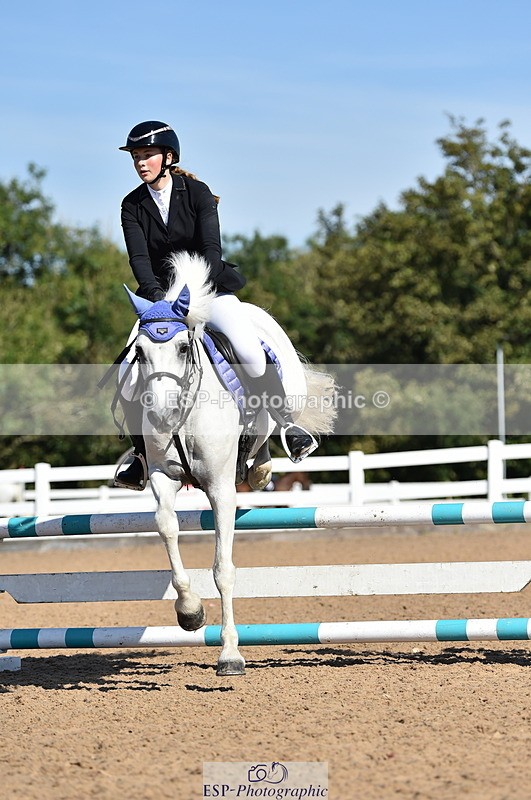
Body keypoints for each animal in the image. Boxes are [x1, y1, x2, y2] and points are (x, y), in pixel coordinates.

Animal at [122, 252, 336, 676]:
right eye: (139, 354)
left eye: (184, 348)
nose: (161, 415)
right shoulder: (162, 477)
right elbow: (166, 526)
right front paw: (190, 613)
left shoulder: (221, 489)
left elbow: (223, 569)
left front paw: (230, 655)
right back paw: (260, 470)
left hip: (285, 391)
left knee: (277, 421)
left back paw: (272, 459)